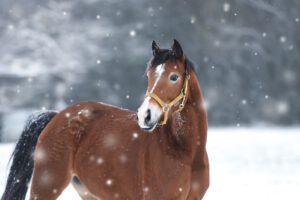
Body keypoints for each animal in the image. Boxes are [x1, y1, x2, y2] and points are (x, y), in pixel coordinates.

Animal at [1, 39, 210, 200]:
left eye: (174, 77)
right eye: (149, 76)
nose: (145, 115)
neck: (184, 151)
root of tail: (56, 116)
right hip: (46, 185)